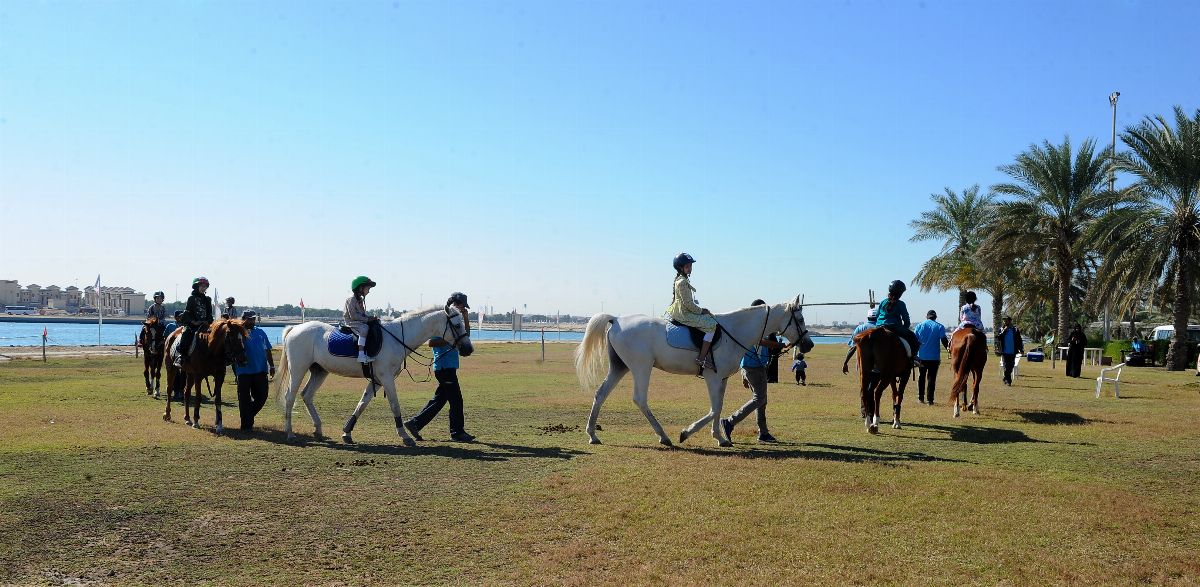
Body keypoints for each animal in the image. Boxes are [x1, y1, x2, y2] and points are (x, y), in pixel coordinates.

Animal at [274, 306, 472, 444]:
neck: (397, 338)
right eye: (457, 325)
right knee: (290, 397)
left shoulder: (377, 380)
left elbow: (362, 404)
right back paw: (290, 433)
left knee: (306, 395)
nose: (468, 349)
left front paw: (347, 432)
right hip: (298, 370)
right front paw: (404, 435)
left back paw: (318, 429)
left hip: (320, 371)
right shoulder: (386, 378)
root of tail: (295, 329)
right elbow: (394, 405)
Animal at [573, 295, 816, 446]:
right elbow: (713, 409)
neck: (733, 331)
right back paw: (664, 436)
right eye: (800, 318)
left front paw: (720, 438)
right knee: (639, 399)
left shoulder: (722, 379)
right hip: (641, 368)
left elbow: (718, 408)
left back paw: (592, 435)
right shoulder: (712, 377)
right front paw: (687, 433)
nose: (809, 344)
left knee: (601, 394)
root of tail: (616, 320)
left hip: (620, 367)